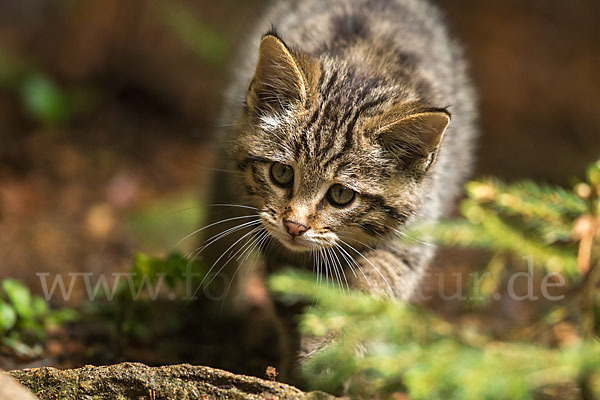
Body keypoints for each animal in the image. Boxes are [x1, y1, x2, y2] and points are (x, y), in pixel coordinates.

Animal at [204, 0, 476, 378]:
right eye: (282, 173)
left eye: (341, 195)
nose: (294, 226)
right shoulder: (275, 239)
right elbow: (294, 300)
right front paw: (300, 364)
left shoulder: (414, 230)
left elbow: (375, 285)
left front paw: (335, 345)